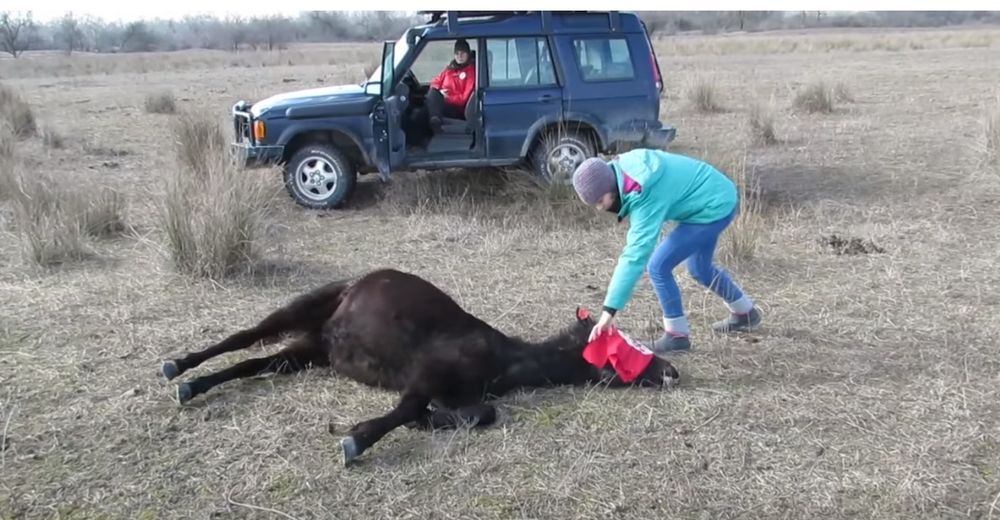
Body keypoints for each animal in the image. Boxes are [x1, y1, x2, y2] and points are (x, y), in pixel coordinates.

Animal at [162, 268, 680, 464]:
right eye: (619, 346)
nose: (671, 372)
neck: (503, 359)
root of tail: (354, 285)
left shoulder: (460, 392)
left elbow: (480, 413)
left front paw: (434, 422)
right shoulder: (425, 374)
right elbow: (409, 410)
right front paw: (356, 439)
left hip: (312, 349)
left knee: (256, 362)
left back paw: (193, 386)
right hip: (302, 311)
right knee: (243, 338)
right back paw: (176, 368)